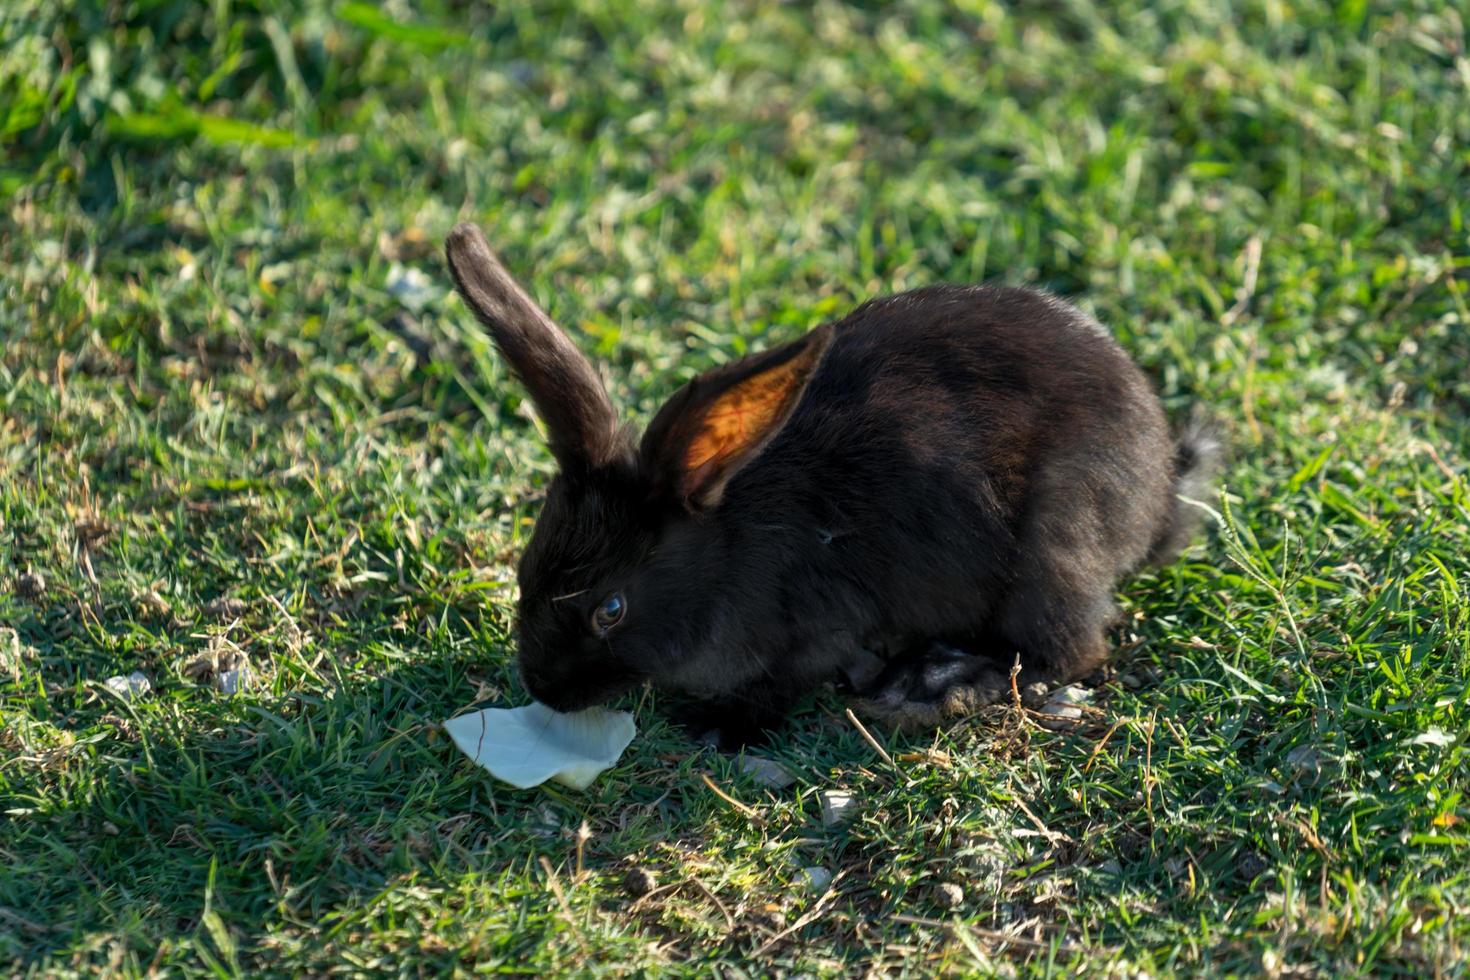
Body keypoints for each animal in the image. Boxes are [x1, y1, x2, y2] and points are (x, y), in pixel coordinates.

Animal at [443, 221, 1217, 743]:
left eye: (610, 609)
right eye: (526, 568)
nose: (543, 689)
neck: (726, 557)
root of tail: (1157, 498)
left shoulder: (819, 627)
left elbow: (785, 683)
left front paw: (718, 727)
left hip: (1052, 545)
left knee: (1066, 650)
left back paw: (933, 684)